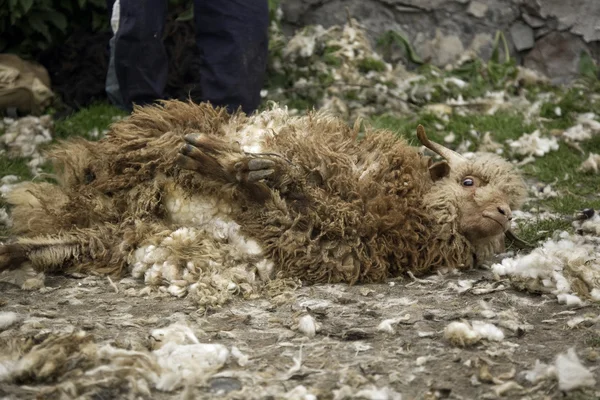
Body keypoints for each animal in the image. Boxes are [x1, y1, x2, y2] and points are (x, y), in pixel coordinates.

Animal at [0, 101, 524, 304]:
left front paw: (244, 173)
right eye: (469, 181)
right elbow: (296, 182)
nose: (504, 214)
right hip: (143, 164)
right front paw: (247, 166)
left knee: (62, 243)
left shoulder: (335, 240)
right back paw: (215, 154)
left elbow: (287, 203)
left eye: (507, 199)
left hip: (116, 232)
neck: (413, 208)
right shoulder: (340, 187)